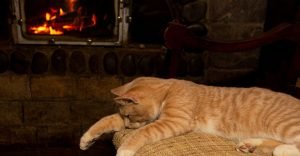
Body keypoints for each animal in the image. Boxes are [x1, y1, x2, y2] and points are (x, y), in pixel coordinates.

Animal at [79, 77, 300, 156]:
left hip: (286, 126)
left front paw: (125, 150)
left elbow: (142, 133)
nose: (127, 126)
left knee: (292, 145)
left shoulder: (173, 121)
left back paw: (284, 150)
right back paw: (251, 145)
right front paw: (87, 139)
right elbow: (107, 119)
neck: (169, 89)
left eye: (128, 115)